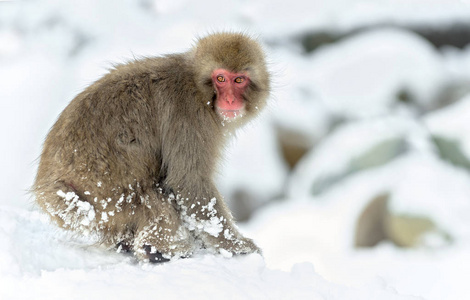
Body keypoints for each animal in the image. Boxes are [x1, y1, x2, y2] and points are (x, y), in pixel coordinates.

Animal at [34, 32, 272, 262]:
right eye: (220, 78)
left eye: (239, 79)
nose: (230, 100)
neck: (197, 86)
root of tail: (47, 189)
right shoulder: (189, 117)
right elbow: (188, 182)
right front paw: (237, 246)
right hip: (101, 197)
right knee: (152, 193)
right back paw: (159, 251)